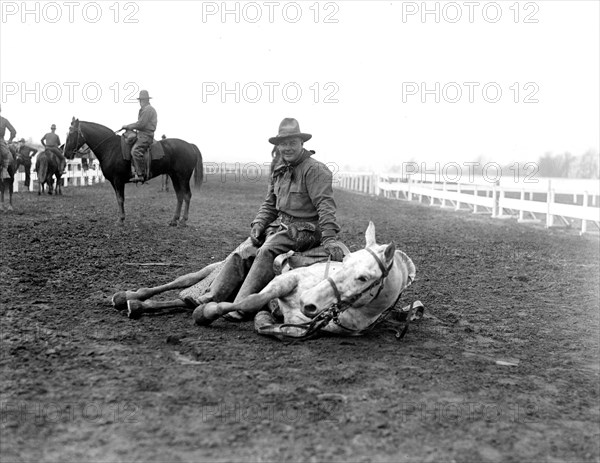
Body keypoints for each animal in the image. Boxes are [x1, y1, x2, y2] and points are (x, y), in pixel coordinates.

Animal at [63, 118, 204, 226]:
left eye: (71, 133)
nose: (66, 153)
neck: (110, 147)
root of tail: (190, 145)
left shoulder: (118, 180)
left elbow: (120, 199)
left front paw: (120, 220)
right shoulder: (115, 182)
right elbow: (118, 199)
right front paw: (121, 218)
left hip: (183, 177)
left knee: (187, 195)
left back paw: (183, 221)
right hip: (175, 177)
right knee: (180, 196)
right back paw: (174, 220)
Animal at [195, 221, 424, 340]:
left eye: (363, 278)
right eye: (345, 260)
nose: (307, 301)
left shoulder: (306, 326)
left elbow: (285, 329)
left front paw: (264, 319)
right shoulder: (286, 279)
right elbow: (251, 300)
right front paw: (206, 313)